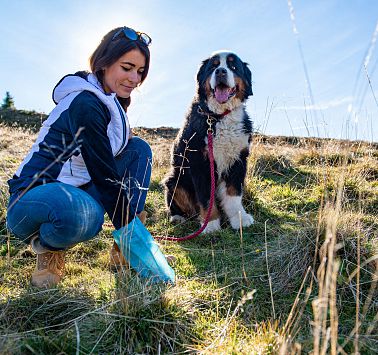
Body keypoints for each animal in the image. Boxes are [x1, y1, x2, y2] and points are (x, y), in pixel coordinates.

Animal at [163, 50, 254, 234]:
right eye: (213, 66)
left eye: (233, 66)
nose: (220, 72)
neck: (218, 116)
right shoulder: (200, 163)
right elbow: (205, 197)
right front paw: (211, 224)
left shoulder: (238, 159)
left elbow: (234, 193)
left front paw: (239, 218)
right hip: (175, 179)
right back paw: (177, 217)